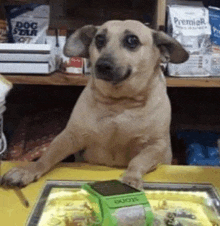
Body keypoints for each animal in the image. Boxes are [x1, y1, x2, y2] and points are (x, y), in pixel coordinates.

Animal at [0, 20, 188, 188]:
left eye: (132, 41)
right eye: (99, 40)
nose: (102, 65)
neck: (119, 102)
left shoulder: (157, 147)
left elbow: (138, 161)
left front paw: (131, 177)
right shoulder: (69, 137)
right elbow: (47, 156)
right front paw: (28, 170)